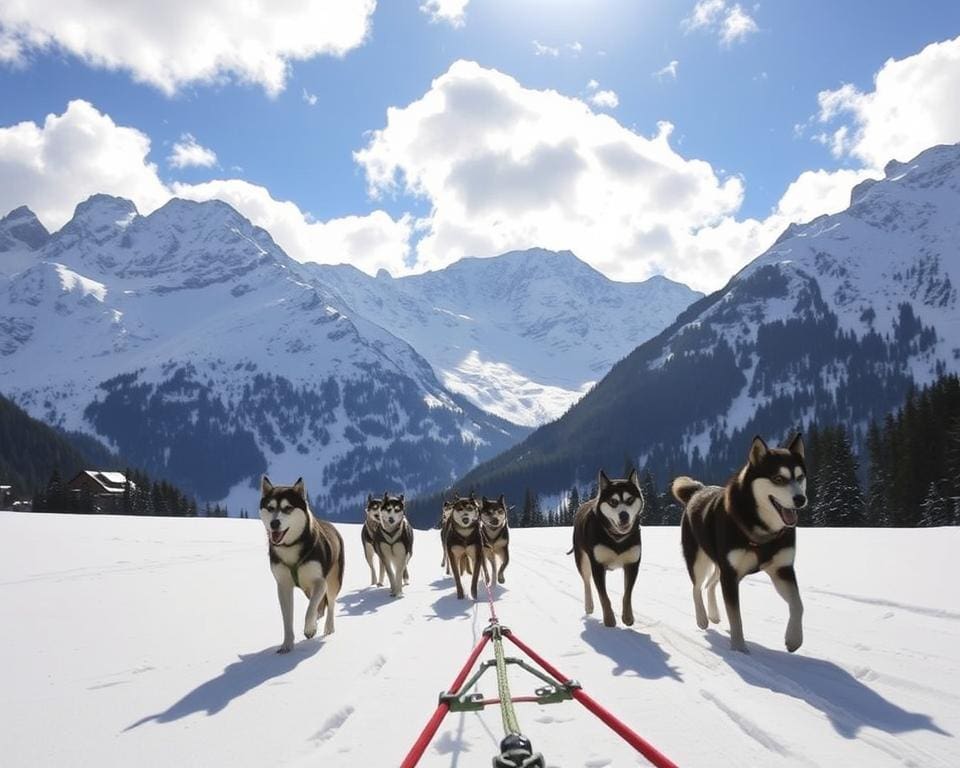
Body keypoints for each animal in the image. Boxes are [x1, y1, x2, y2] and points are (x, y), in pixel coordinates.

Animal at [258, 476, 344, 652]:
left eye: (288, 508)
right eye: (270, 508)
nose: (274, 523)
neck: (291, 546)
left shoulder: (320, 582)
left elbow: (310, 609)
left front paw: (309, 628)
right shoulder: (283, 585)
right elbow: (287, 618)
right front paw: (287, 644)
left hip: (333, 579)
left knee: (330, 603)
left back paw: (328, 627)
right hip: (308, 589)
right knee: (319, 604)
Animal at [572, 472, 640, 628]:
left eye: (630, 500)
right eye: (613, 501)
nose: (624, 515)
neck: (616, 537)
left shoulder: (632, 563)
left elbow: (627, 593)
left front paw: (628, 617)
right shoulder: (597, 565)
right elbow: (603, 596)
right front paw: (609, 619)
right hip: (582, 558)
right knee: (586, 581)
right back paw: (589, 605)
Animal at [672, 436, 808, 652]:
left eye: (800, 477)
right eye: (778, 478)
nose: (800, 499)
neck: (762, 529)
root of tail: (699, 489)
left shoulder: (782, 569)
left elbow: (798, 605)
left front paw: (794, 639)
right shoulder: (730, 573)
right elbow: (735, 616)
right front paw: (739, 649)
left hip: (722, 564)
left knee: (710, 584)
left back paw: (714, 614)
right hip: (699, 560)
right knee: (697, 587)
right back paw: (702, 618)